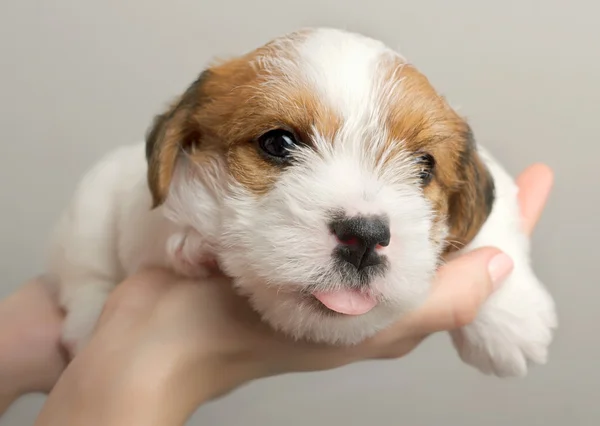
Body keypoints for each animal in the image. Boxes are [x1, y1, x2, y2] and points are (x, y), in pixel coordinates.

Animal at [45, 28, 556, 378]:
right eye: (277, 142)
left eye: (424, 166)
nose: (365, 237)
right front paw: (191, 242)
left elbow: (494, 224)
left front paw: (512, 321)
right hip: (87, 211)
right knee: (83, 275)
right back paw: (88, 327)